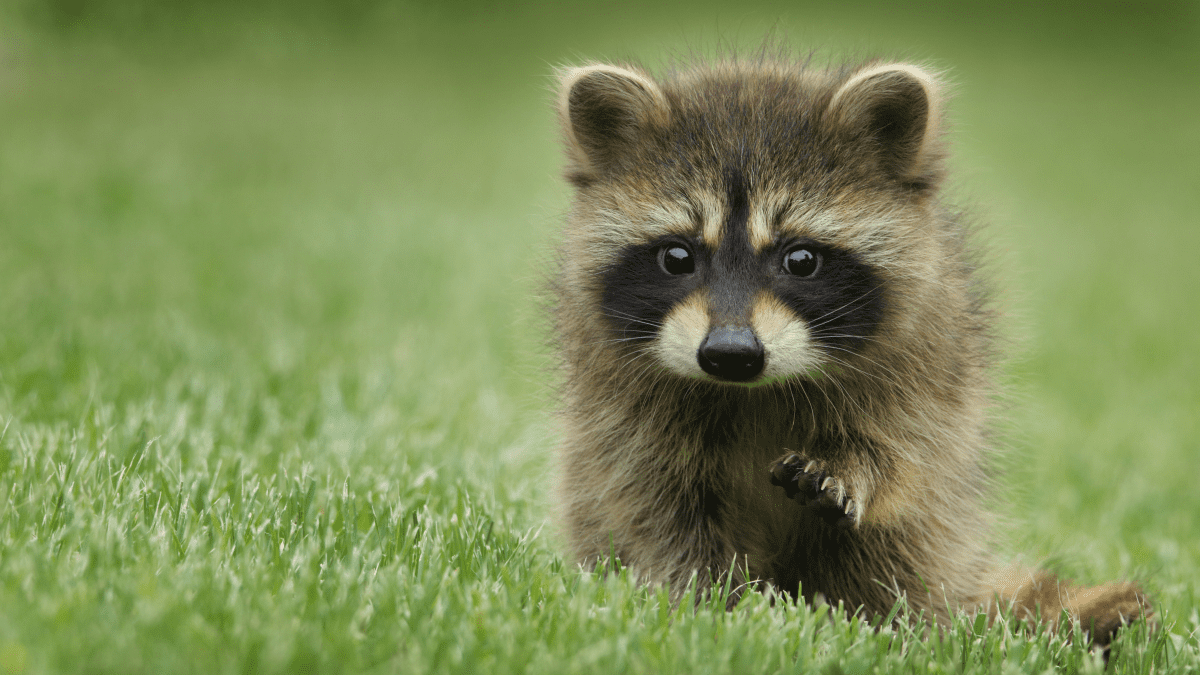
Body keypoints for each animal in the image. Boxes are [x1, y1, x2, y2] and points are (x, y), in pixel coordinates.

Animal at [549, 55, 1147, 643]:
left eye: (801, 259)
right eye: (677, 257)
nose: (730, 353)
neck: (753, 390)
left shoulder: (930, 358)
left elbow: (904, 452)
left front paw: (855, 468)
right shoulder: (620, 409)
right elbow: (654, 507)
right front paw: (714, 603)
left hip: (938, 535)